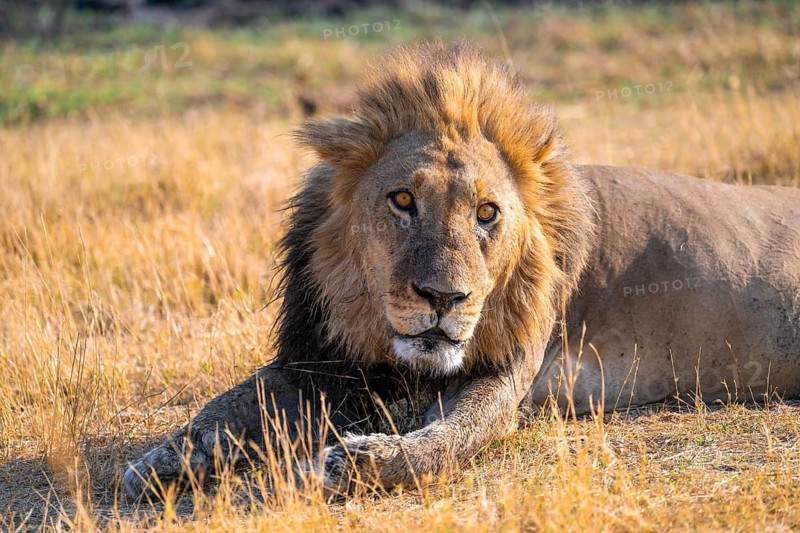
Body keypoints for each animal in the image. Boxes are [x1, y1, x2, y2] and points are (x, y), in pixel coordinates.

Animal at [123, 41, 800, 500]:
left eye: (486, 213)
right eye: (402, 200)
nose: (443, 298)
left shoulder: (506, 373)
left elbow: (450, 439)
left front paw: (357, 462)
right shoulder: (319, 361)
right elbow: (224, 411)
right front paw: (156, 465)